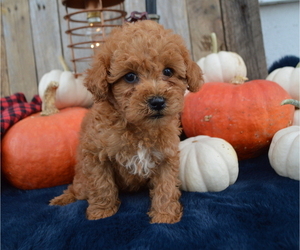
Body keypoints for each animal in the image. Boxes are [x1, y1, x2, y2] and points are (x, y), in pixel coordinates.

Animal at [50, 19, 203, 223]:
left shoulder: (166, 157)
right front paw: (101, 212)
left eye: (168, 71)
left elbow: (166, 186)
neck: (139, 128)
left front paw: (164, 216)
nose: (157, 101)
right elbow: (101, 185)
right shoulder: (95, 155)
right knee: (78, 189)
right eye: (130, 76)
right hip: (82, 177)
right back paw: (63, 199)